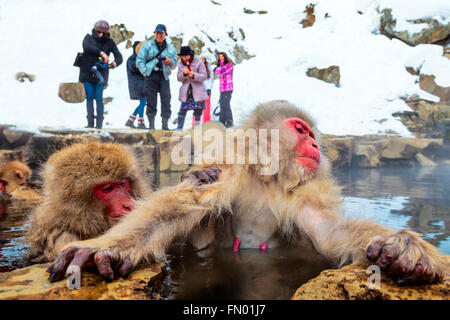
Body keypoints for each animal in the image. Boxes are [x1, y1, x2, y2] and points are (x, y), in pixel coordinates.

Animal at [47, 100, 448, 284]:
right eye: (300, 130)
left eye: (312, 135)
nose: (316, 147)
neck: (266, 179)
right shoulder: (232, 167)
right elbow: (185, 203)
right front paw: (103, 248)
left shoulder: (302, 189)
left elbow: (330, 231)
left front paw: (404, 249)